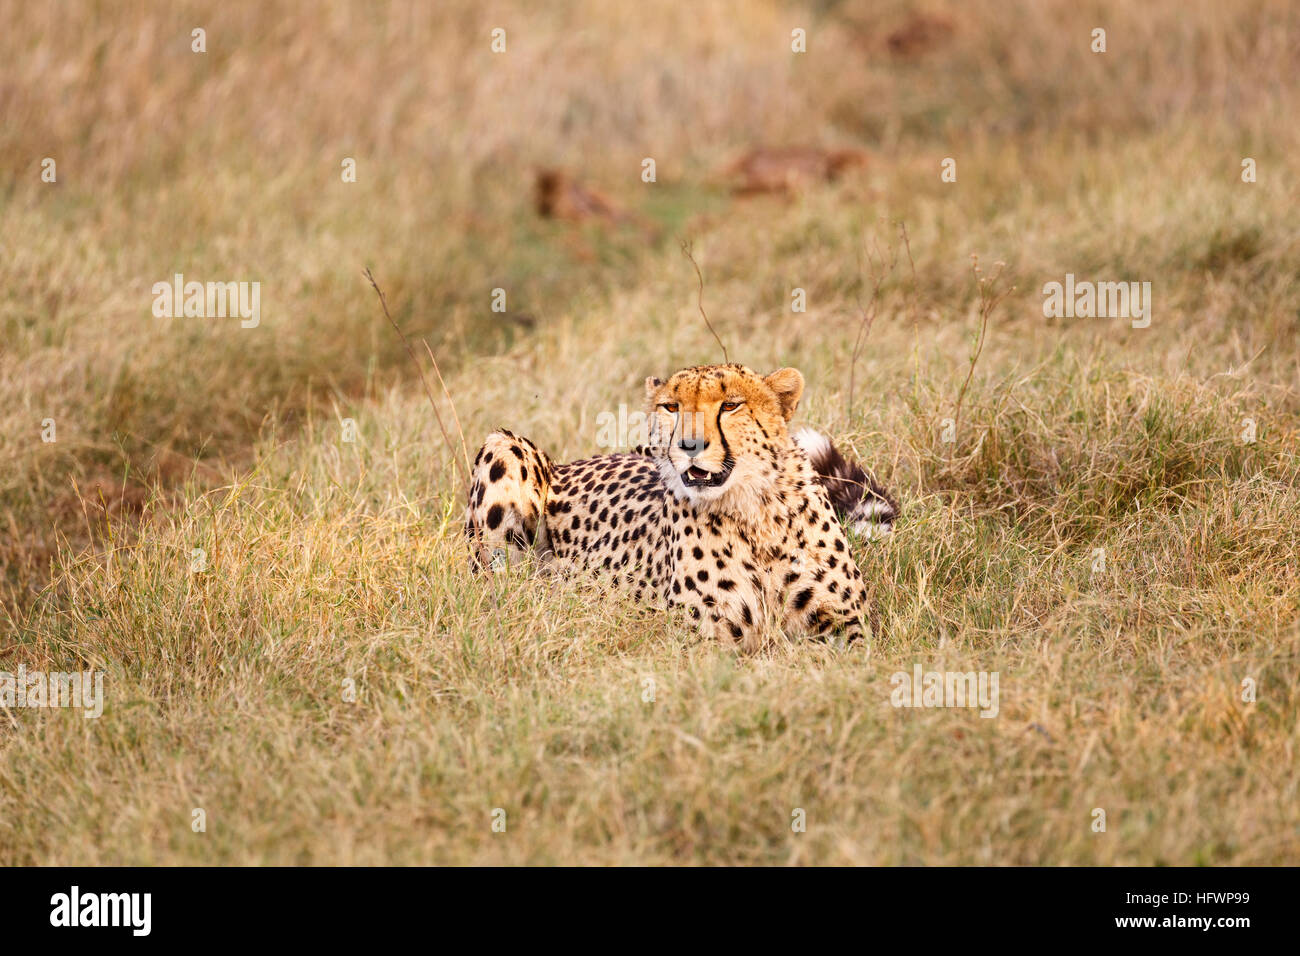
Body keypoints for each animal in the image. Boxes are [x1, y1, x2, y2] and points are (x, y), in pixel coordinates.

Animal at [462, 361, 899, 647]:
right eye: (671, 407)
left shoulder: (848, 625)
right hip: (504, 447)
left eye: (730, 405)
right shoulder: (699, 640)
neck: (753, 515)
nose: (689, 444)